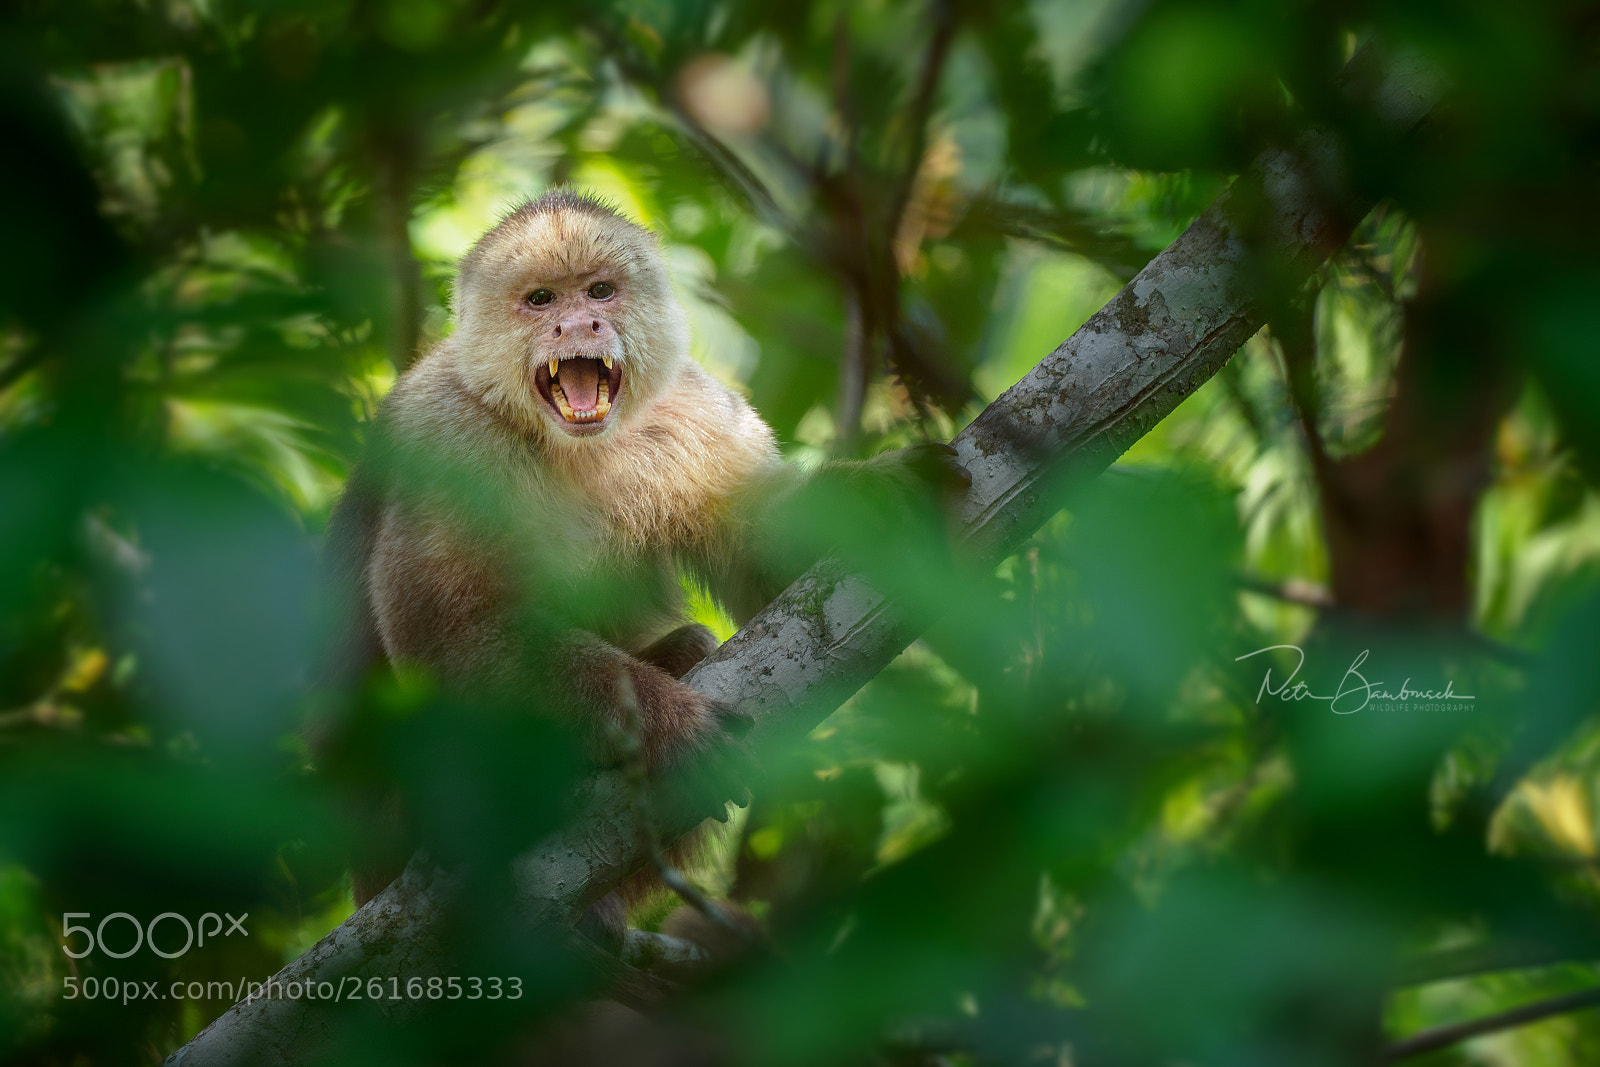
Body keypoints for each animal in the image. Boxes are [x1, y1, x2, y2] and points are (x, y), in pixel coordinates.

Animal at [323, 189, 966, 943]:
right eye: (541, 299)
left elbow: (767, 570)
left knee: (697, 641)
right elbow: (448, 631)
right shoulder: (445, 436)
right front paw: (667, 724)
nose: (580, 322)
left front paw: (876, 496)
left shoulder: (693, 408)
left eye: (600, 290)